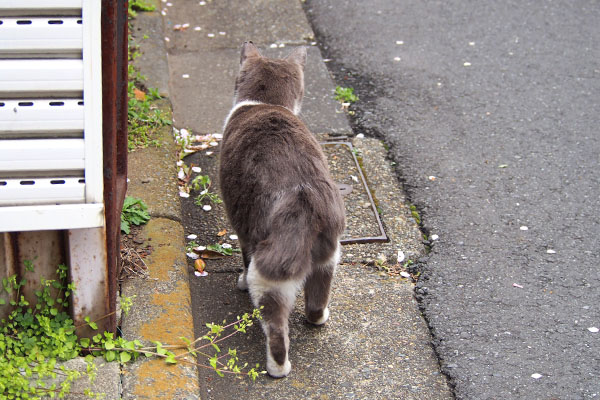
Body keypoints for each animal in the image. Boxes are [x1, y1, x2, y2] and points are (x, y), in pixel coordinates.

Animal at [218, 43, 344, 378]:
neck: (266, 103)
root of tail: (306, 199)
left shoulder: (242, 224)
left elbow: (243, 255)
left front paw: (238, 281)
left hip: (269, 269)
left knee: (275, 326)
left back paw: (277, 367)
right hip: (328, 255)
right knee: (316, 298)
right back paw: (319, 317)